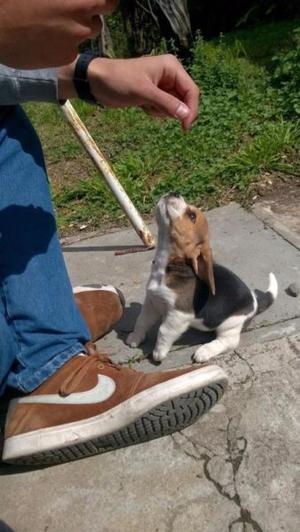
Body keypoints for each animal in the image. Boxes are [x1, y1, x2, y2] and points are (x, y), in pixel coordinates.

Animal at [125, 193, 278, 364]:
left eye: (192, 216)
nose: (174, 193)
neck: (167, 265)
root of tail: (255, 301)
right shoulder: (152, 302)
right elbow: (142, 321)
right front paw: (134, 338)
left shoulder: (179, 314)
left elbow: (163, 330)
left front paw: (158, 353)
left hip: (231, 323)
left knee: (229, 341)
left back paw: (204, 351)